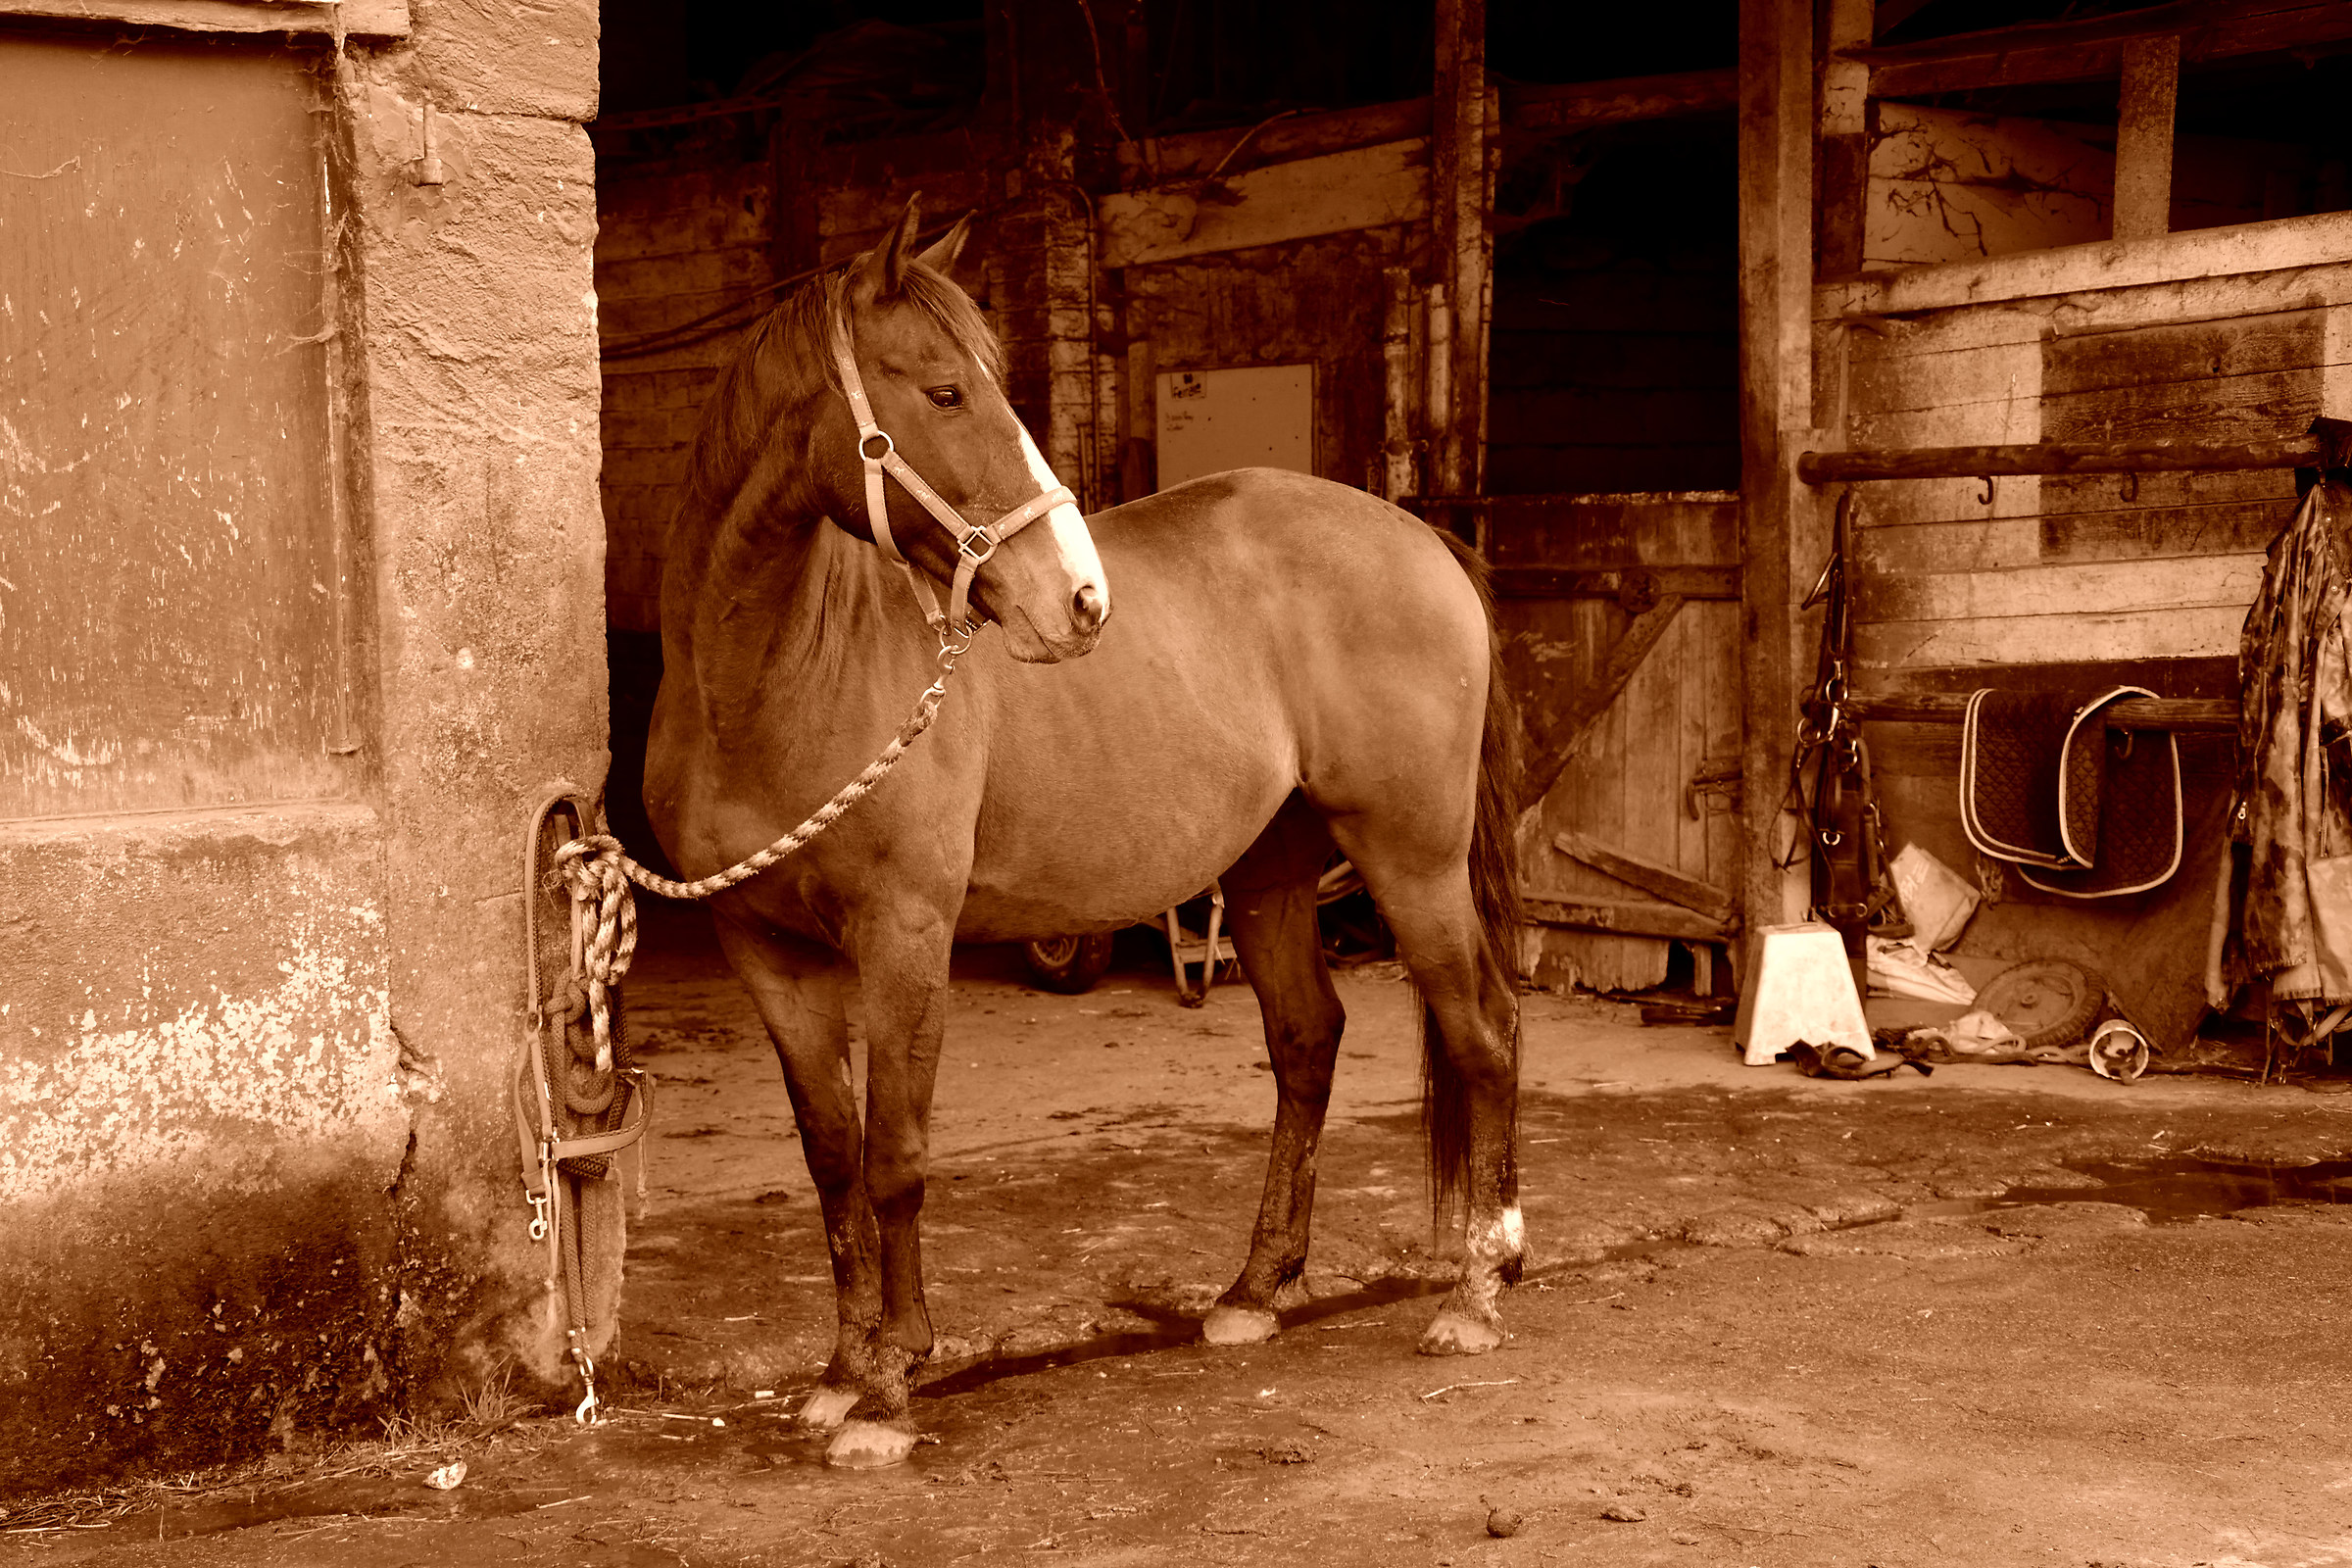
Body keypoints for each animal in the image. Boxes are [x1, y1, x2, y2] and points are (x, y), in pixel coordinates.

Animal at [642, 198, 1523, 1469]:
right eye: (945, 390)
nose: (1081, 601)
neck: (770, 685)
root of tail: (1422, 541)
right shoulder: (764, 952)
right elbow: (831, 1157)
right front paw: (840, 1372)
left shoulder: (905, 937)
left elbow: (895, 1156)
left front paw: (890, 1391)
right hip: (1271, 871)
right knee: (1309, 1042)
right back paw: (1255, 1292)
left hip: (1413, 858)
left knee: (1482, 1033)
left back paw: (1476, 1296)